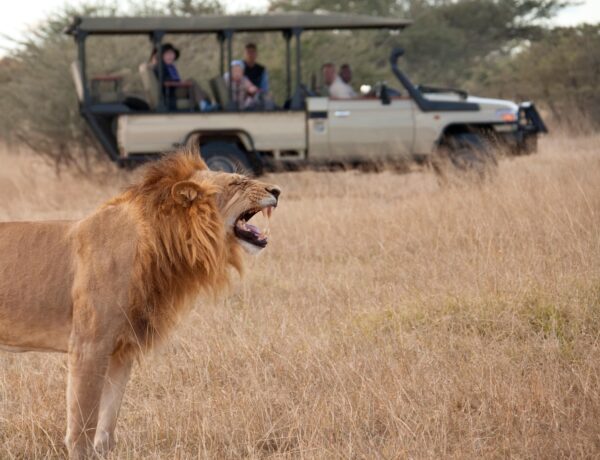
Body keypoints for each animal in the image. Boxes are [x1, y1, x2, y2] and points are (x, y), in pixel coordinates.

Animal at [0, 145, 282, 460]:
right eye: (236, 182)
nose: (277, 190)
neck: (160, 244)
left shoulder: (122, 350)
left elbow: (107, 423)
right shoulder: (88, 346)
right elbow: (83, 422)